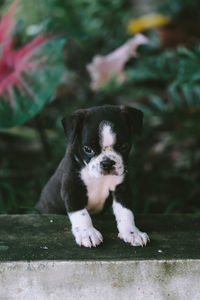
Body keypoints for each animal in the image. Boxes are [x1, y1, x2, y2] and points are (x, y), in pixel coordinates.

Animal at [36, 105, 149, 248]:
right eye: (88, 149)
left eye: (124, 146)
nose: (107, 163)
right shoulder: (72, 188)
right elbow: (81, 213)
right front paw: (87, 233)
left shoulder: (121, 189)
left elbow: (126, 211)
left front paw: (132, 232)